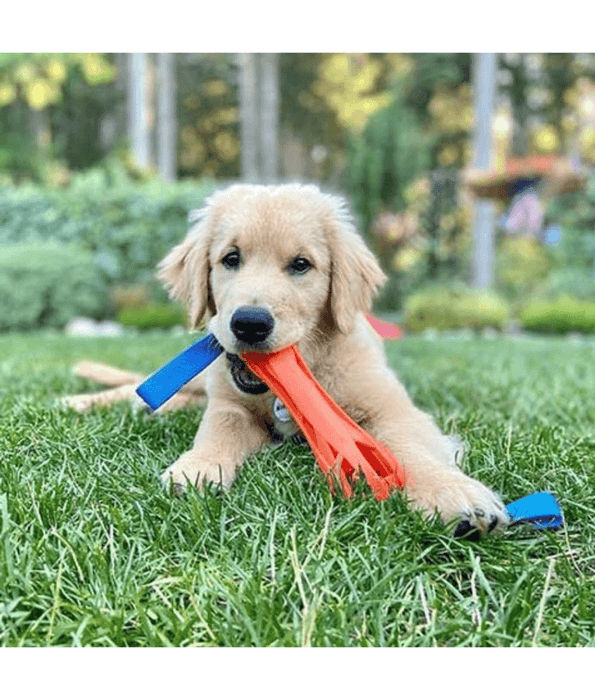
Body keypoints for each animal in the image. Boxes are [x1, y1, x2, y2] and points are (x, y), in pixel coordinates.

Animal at [152, 185, 508, 536]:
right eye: (231, 258)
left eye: (300, 264)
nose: (250, 323)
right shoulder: (230, 404)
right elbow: (220, 428)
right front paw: (197, 467)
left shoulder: (391, 408)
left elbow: (407, 447)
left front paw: (451, 493)